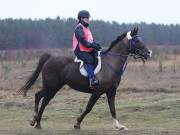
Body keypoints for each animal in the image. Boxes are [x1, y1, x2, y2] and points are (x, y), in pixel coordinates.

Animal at [19, 27, 152, 130]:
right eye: (137, 40)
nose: (149, 53)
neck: (111, 63)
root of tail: (50, 58)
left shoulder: (111, 91)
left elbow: (112, 108)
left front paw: (118, 126)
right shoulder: (97, 91)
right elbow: (89, 107)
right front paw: (77, 124)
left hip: (54, 87)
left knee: (43, 99)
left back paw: (36, 122)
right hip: (50, 86)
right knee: (39, 97)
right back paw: (35, 121)